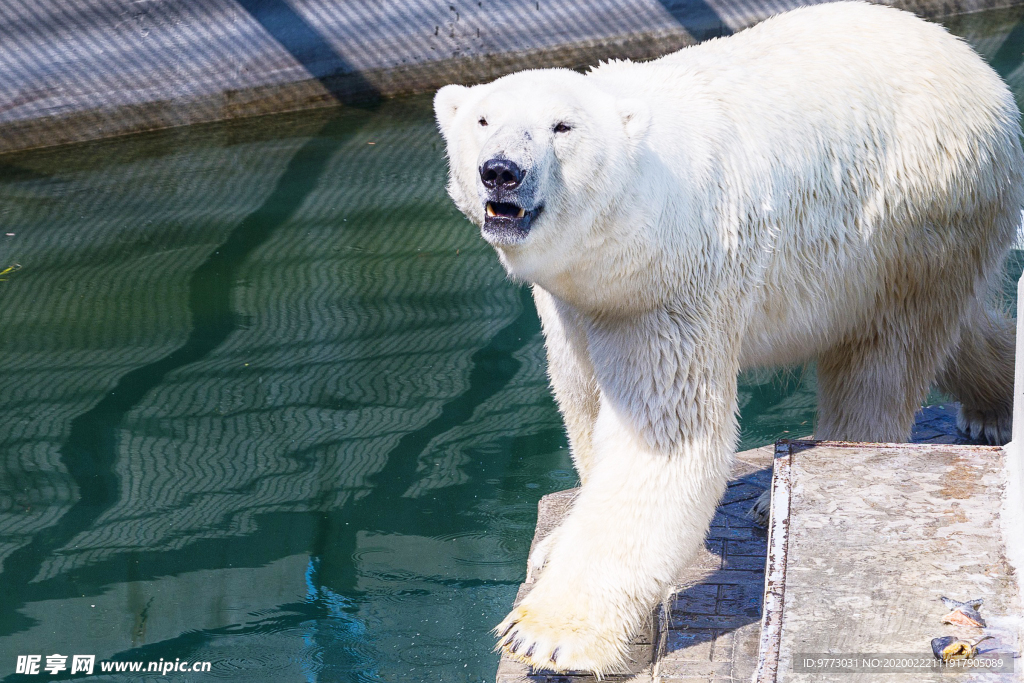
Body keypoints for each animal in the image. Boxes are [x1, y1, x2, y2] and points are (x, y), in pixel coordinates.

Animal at [436, 2, 1019, 675]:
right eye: (484, 119)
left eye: (562, 126)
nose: (501, 172)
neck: (633, 224)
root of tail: (980, 71)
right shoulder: (575, 301)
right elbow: (581, 397)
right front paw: (554, 545)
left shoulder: (675, 286)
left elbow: (664, 442)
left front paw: (545, 633)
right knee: (955, 332)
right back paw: (989, 412)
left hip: (914, 213)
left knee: (884, 356)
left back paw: (778, 495)